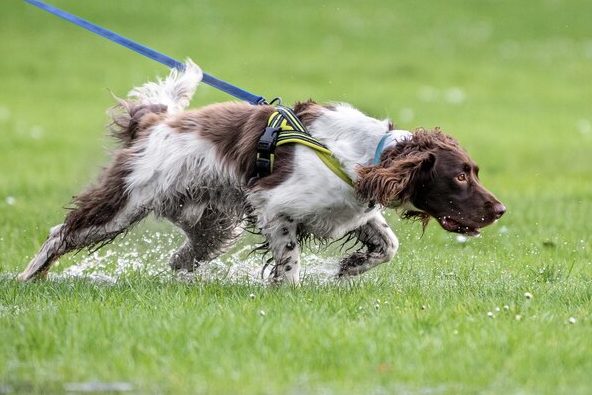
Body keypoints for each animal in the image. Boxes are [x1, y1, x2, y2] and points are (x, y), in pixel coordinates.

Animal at [17, 60, 504, 284]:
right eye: (460, 176)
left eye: (474, 171)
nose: (500, 210)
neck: (366, 153)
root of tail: (157, 121)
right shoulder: (274, 206)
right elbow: (289, 260)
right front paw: (290, 291)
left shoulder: (352, 209)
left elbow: (387, 244)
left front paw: (350, 266)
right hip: (124, 202)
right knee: (61, 232)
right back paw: (27, 279)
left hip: (214, 225)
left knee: (184, 257)